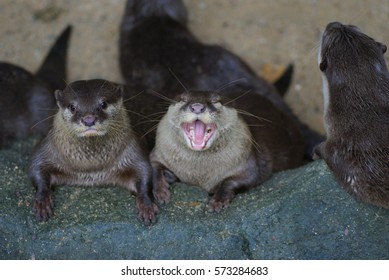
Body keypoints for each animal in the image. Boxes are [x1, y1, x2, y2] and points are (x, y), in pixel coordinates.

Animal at [28, 79, 159, 225]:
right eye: (72, 107)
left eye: (103, 104)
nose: (89, 120)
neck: (92, 166)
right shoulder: (49, 147)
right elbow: (35, 165)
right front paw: (42, 202)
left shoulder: (132, 149)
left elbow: (144, 171)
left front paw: (146, 205)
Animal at [149, 91, 304, 211]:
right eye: (183, 99)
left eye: (215, 101)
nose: (197, 106)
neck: (199, 175)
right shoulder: (159, 153)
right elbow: (154, 165)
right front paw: (161, 191)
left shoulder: (250, 164)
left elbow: (236, 180)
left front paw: (219, 200)